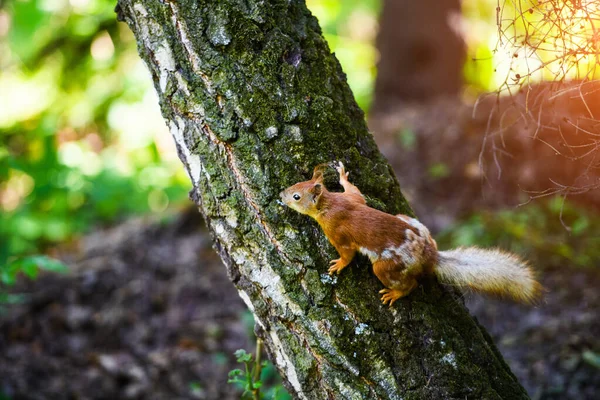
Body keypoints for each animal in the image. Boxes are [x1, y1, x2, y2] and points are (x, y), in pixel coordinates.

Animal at [278, 162, 540, 306]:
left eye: (297, 197)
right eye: (297, 183)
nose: (281, 194)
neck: (330, 205)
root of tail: (429, 256)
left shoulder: (337, 230)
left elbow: (347, 253)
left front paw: (338, 265)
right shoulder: (352, 199)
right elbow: (355, 191)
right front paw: (342, 175)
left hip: (387, 267)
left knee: (410, 284)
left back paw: (395, 293)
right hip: (407, 218)